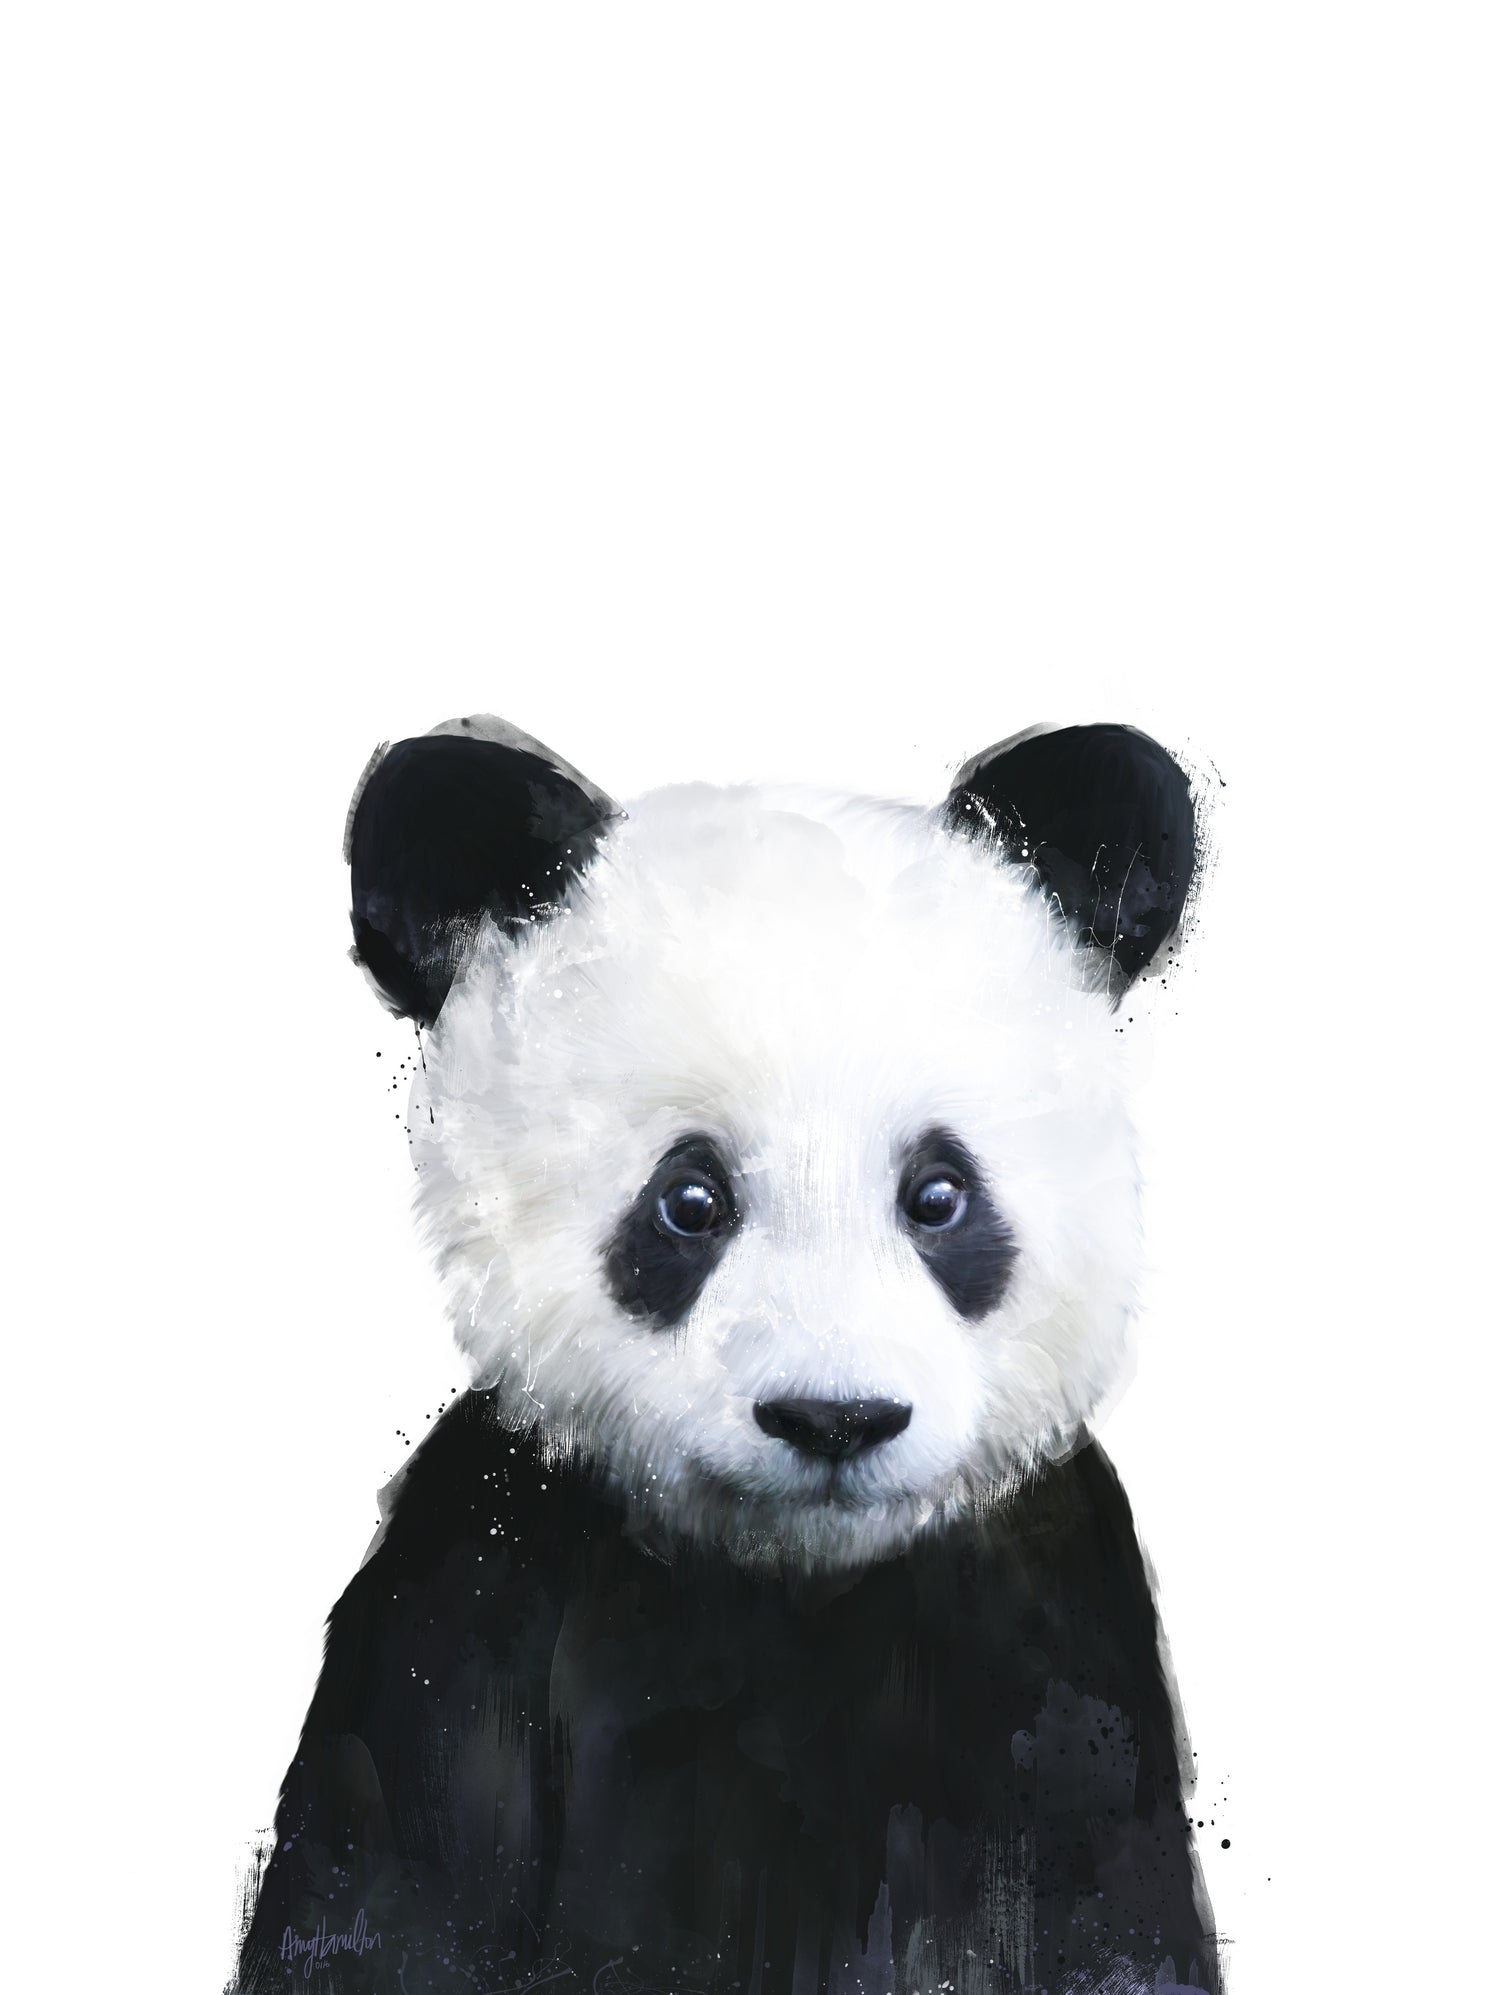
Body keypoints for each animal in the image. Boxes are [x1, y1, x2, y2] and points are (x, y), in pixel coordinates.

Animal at [234, 715, 1219, 1995]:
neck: (793, 1581)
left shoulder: (1053, 1633)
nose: (834, 1418)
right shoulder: (474, 1591)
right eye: (690, 1201)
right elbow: (384, 1890)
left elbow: (1109, 1916)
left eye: (939, 1195)